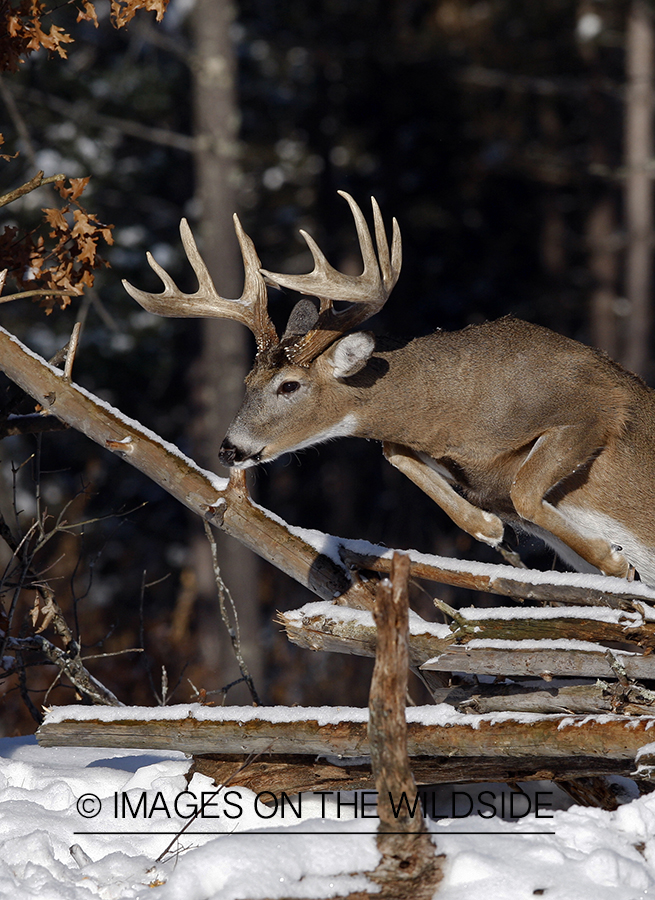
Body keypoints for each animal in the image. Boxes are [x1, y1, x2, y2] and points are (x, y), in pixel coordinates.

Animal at [123, 193, 655, 588]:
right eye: (247, 382)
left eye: (289, 385)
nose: (229, 449)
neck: (463, 410)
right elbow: (397, 452)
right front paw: (494, 532)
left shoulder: (595, 406)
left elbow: (524, 489)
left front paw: (616, 560)